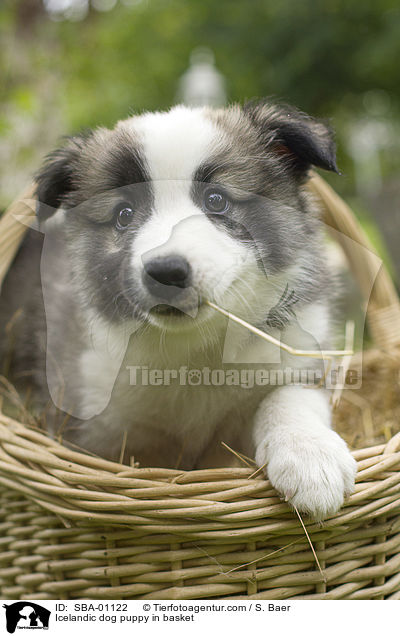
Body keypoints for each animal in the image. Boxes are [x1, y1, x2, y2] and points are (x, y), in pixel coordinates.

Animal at [0, 102, 356, 520]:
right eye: (123, 214)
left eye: (216, 200)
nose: (166, 272)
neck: (196, 349)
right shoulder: (88, 417)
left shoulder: (301, 352)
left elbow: (289, 396)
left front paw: (312, 456)